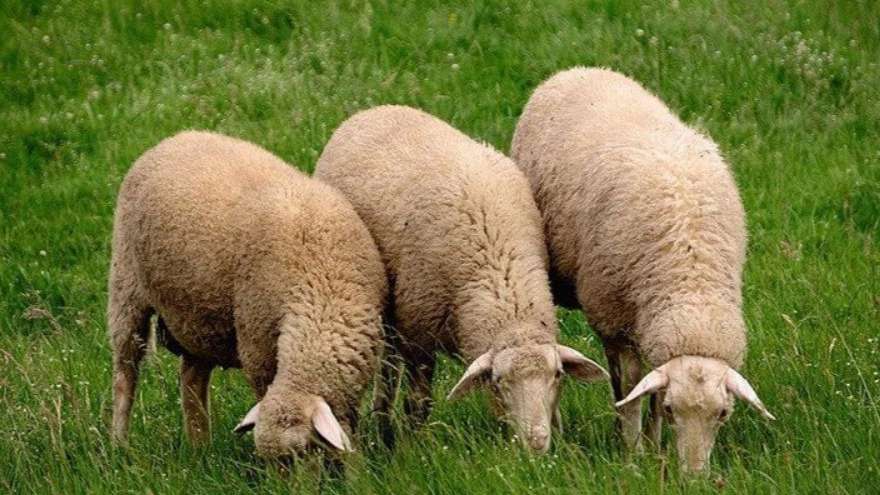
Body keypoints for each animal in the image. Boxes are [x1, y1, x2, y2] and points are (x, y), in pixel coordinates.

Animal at [108, 131, 387, 458]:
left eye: (305, 450)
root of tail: (177, 137)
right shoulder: (257, 350)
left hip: (197, 318)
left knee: (191, 378)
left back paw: (200, 449)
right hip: (125, 286)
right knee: (125, 373)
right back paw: (119, 444)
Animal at [314, 105, 609, 454]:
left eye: (559, 375)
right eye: (498, 381)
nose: (536, 445)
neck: (499, 278)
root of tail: (375, 110)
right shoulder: (418, 335)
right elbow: (418, 403)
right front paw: (412, 447)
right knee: (388, 369)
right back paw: (384, 428)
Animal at [511, 67, 775, 473]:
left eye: (723, 413)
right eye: (673, 409)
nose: (694, 477)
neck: (690, 283)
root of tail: (578, 70)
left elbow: (647, 389)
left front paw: (652, 444)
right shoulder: (615, 320)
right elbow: (633, 390)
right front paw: (633, 452)